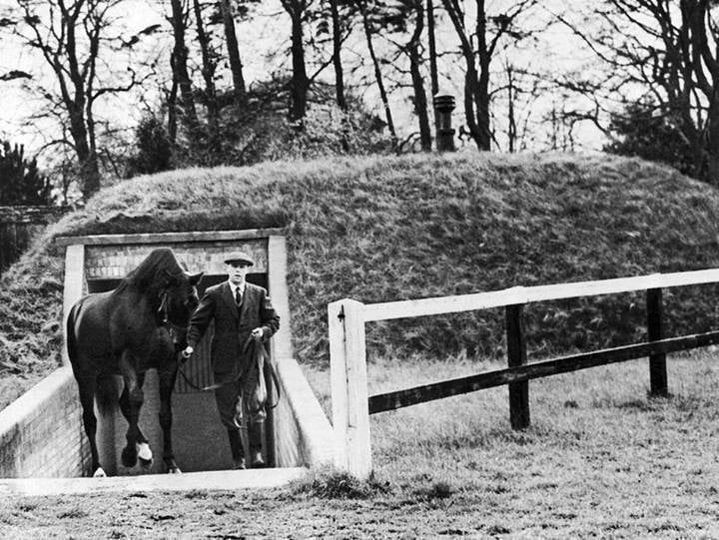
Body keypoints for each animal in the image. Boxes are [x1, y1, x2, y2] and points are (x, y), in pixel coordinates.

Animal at [67, 248, 202, 476]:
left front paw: (171, 463)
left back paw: (145, 451)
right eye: (178, 301)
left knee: (123, 403)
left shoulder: (166, 366)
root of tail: (78, 308)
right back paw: (99, 468)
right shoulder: (128, 361)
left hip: (135, 372)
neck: (149, 316)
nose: (182, 346)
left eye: (195, 303)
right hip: (85, 374)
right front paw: (129, 456)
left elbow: (165, 414)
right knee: (91, 419)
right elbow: (136, 399)